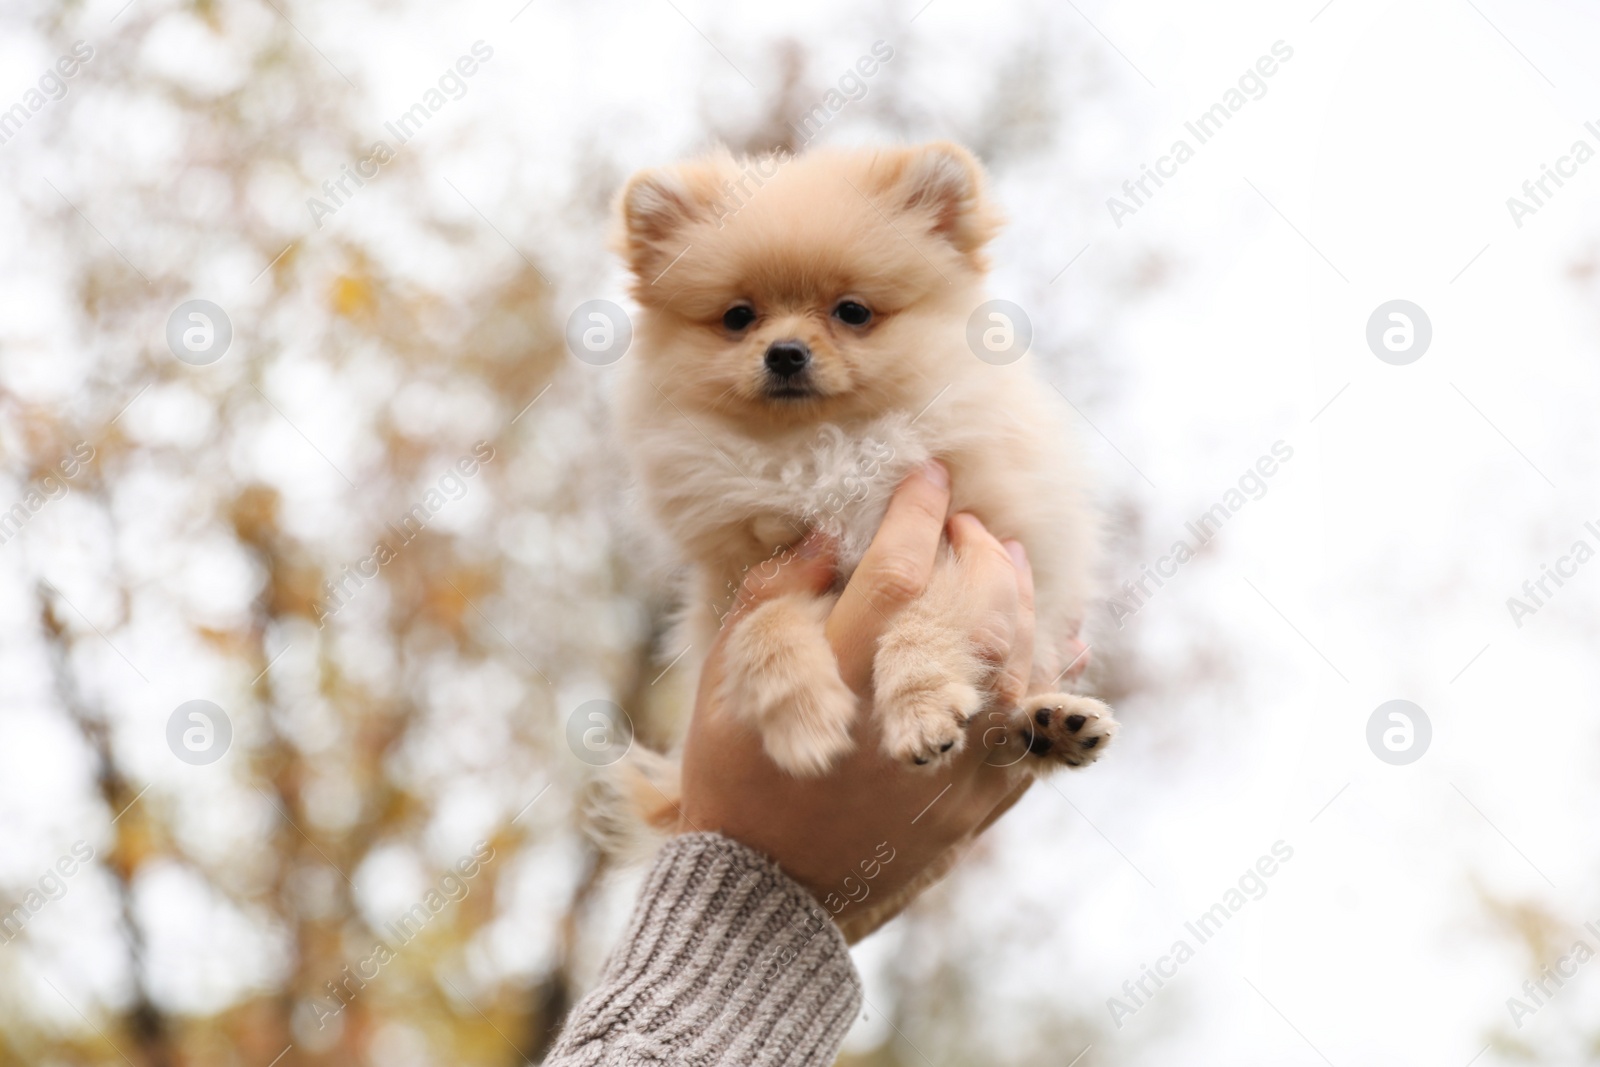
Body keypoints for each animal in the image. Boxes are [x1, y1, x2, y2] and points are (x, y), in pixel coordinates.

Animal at [608, 137, 1113, 780]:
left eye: (852, 312)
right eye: (738, 317)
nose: (785, 352)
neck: (820, 447)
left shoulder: (968, 532)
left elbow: (924, 619)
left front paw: (920, 708)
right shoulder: (749, 574)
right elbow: (762, 625)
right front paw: (803, 716)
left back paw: (1052, 723)